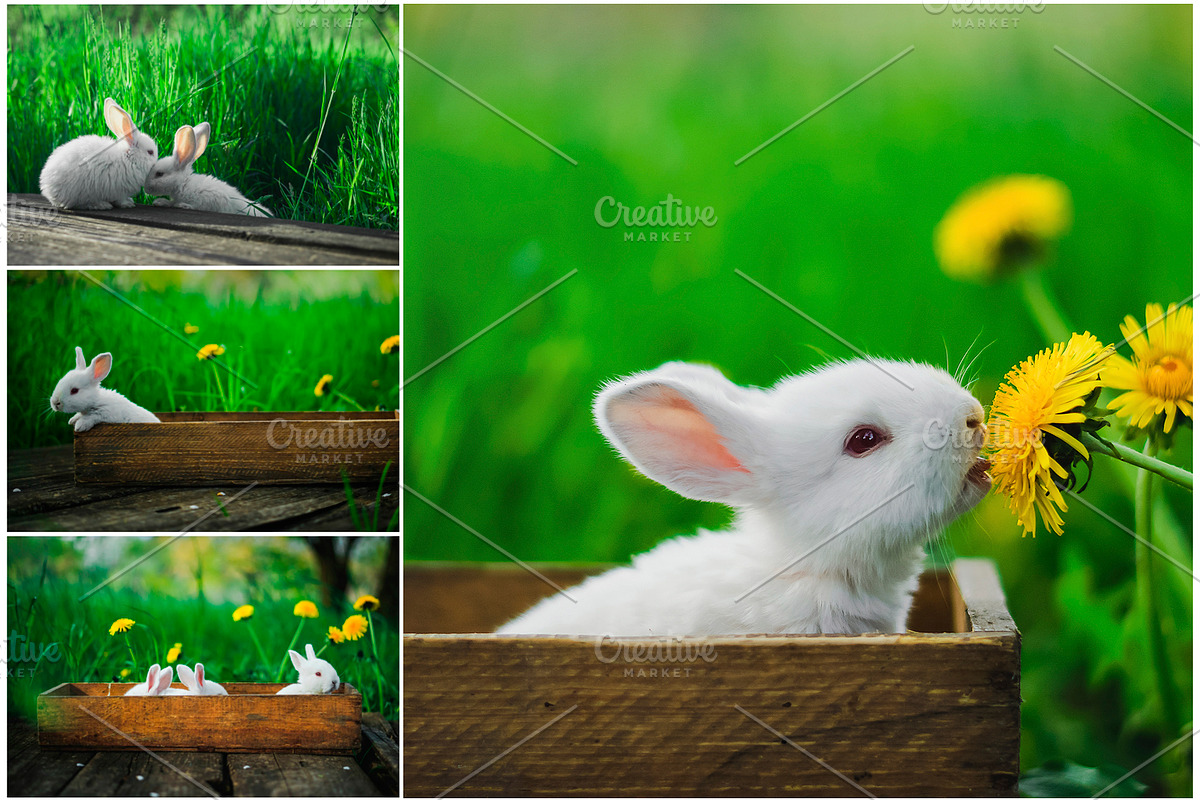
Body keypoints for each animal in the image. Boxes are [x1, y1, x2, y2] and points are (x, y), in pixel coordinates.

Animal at [143, 123, 273, 217]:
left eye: (159, 174)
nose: (146, 188)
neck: (184, 183)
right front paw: (161, 202)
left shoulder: (212, 198)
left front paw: (183, 205)